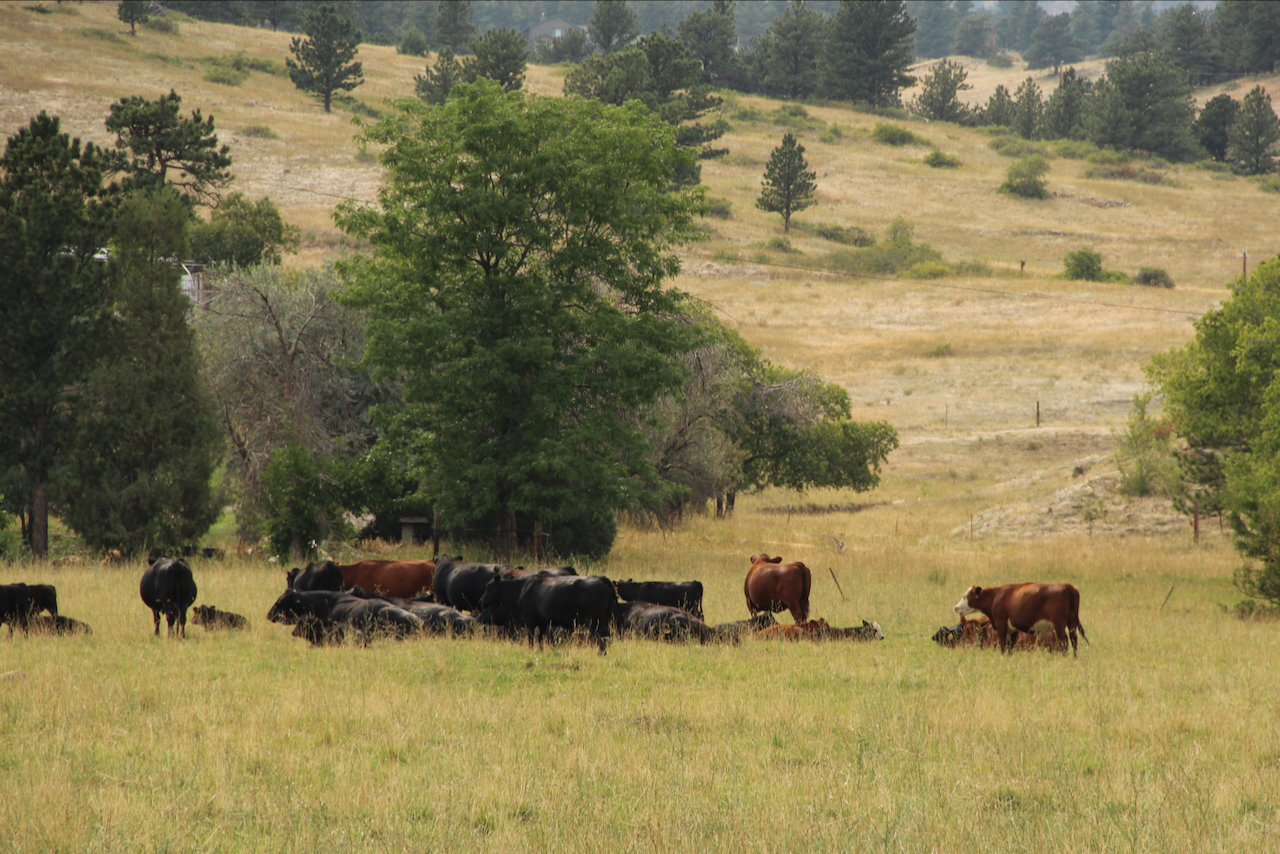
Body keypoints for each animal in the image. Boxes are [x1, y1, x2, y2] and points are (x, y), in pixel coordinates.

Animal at [478, 572, 616, 654]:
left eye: (489, 588)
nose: (481, 601)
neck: (521, 589)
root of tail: (600, 578)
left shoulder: (529, 620)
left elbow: (531, 637)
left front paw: (531, 650)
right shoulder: (543, 622)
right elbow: (540, 638)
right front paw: (540, 651)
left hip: (595, 619)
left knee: (603, 635)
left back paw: (601, 653)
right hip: (604, 618)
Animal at [954, 583, 1089, 656]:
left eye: (965, 596)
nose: (956, 608)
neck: (996, 596)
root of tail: (1066, 586)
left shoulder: (1001, 624)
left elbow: (1002, 645)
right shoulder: (1014, 630)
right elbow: (1010, 646)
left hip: (1059, 624)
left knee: (1064, 641)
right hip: (1072, 622)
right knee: (1074, 639)